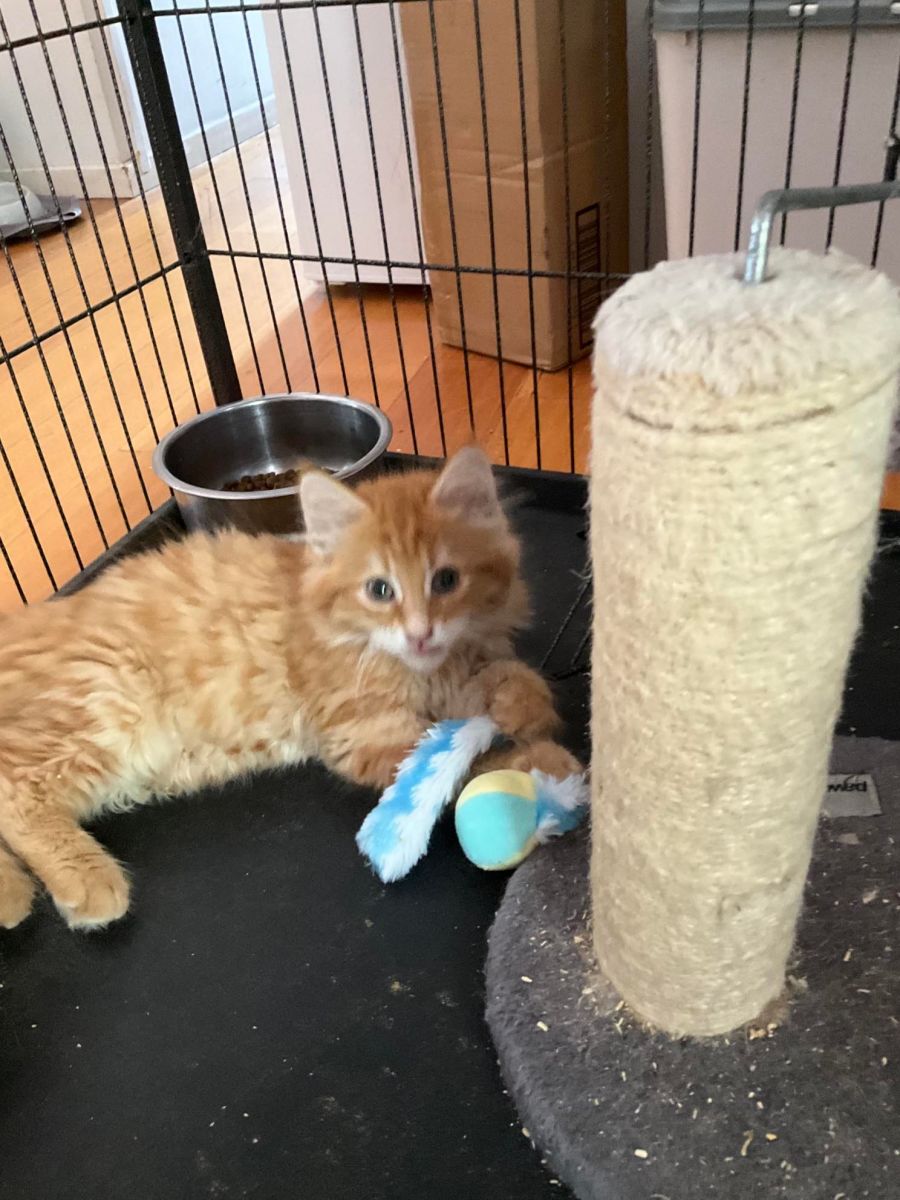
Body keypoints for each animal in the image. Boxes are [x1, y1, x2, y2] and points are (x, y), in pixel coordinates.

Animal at [0, 447, 580, 931]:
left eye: (446, 581)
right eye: (380, 590)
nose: (420, 633)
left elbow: (507, 681)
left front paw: (519, 701)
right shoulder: (369, 735)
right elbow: (465, 763)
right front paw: (545, 769)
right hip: (101, 703)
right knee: (16, 792)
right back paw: (85, 883)